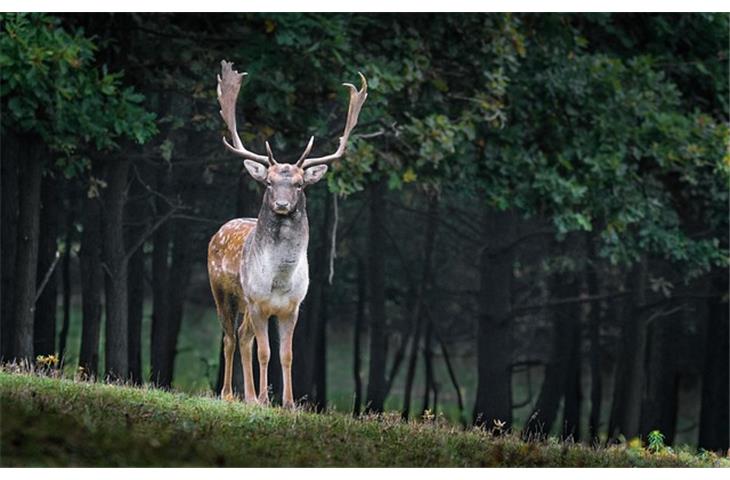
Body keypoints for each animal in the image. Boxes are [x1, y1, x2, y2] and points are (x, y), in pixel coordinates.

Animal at [206, 58, 366, 406]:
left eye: (299, 184)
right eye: (268, 182)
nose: (281, 204)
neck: (279, 281)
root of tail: (220, 230)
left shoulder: (292, 307)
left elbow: (287, 355)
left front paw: (288, 403)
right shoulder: (257, 301)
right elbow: (265, 352)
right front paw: (266, 399)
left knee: (242, 336)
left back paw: (248, 396)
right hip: (223, 292)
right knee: (229, 336)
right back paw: (229, 394)